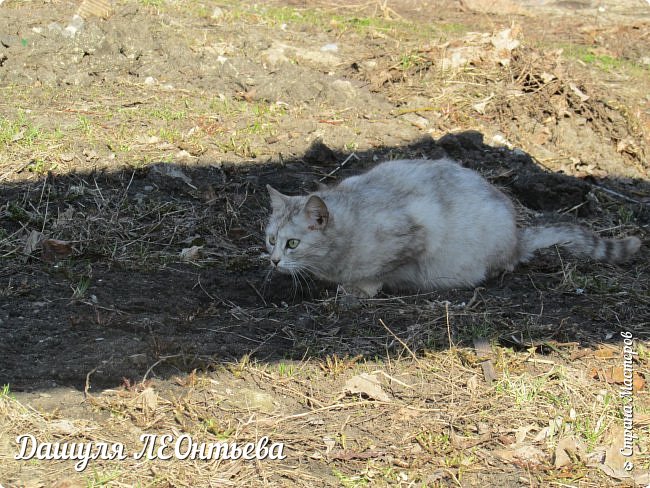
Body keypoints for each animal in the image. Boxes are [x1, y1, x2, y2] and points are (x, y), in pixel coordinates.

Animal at [264, 159, 636, 298]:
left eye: (292, 243)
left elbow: (376, 274)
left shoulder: (418, 232)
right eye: (270, 240)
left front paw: (358, 289)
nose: (273, 260)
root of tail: (517, 235)